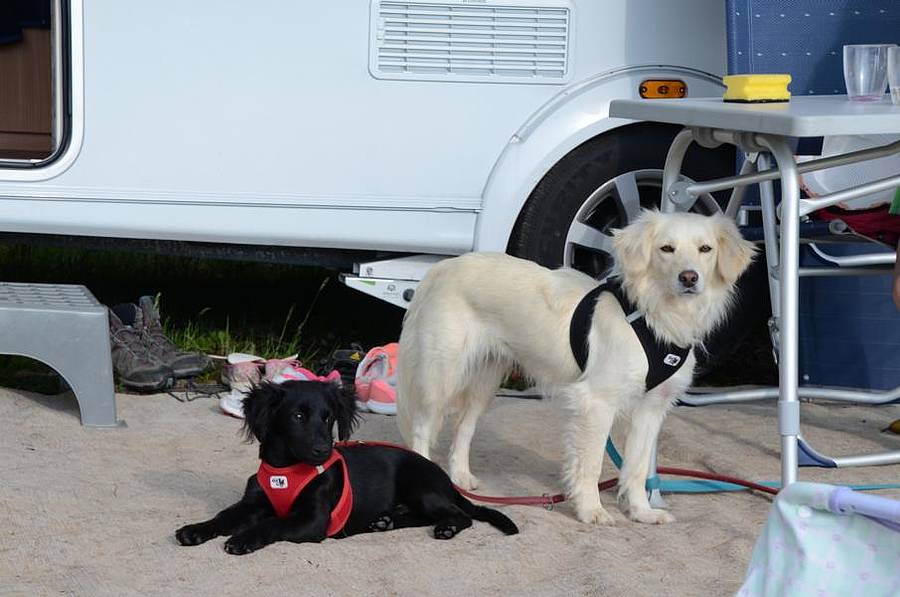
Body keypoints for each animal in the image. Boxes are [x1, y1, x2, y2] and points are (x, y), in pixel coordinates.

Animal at [175, 380, 518, 554]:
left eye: (328, 417)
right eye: (297, 416)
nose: (323, 450)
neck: (286, 469)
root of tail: (445, 478)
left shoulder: (313, 521)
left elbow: (272, 524)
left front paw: (243, 539)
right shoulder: (252, 503)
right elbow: (224, 516)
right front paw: (195, 530)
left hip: (421, 488)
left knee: (460, 515)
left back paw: (445, 527)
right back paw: (384, 521)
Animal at [397, 210, 756, 525]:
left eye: (705, 249)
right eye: (667, 249)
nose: (689, 278)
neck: (654, 317)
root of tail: (444, 266)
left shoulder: (651, 409)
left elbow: (637, 468)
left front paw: (641, 512)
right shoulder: (597, 402)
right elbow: (591, 464)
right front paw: (590, 510)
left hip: (485, 382)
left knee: (464, 428)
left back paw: (460, 476)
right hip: (442, 374)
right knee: (423, 428)